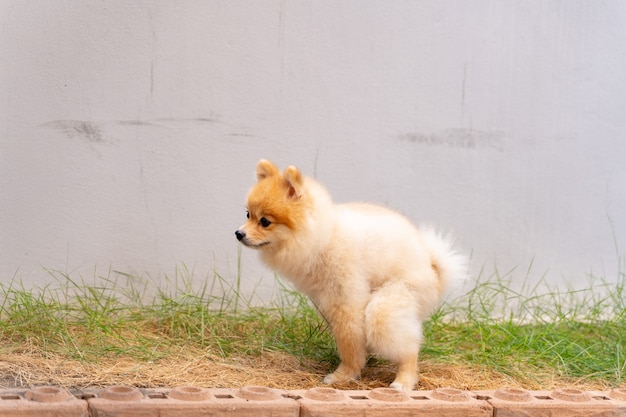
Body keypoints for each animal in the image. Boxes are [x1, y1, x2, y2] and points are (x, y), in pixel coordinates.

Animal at [234, 159, 464, 390]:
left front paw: (345, 374)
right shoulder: (325, 301)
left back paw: (403, 380)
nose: (239, 233)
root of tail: (433, 266)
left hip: (395, 299)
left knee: (404, 343)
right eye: (247, 215)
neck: (324, 238)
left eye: (265, 221)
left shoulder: (345, 299)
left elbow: (348, 339)